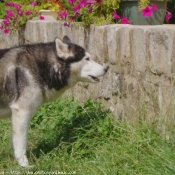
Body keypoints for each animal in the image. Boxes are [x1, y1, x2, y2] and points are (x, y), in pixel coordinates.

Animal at [0, 35, 108, 167]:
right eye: (87, 59)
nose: (106, 68)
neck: (42, 66)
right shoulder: (22, 112)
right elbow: (21, 143)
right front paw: (25, 165)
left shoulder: (16, 115)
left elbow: (15, 142)